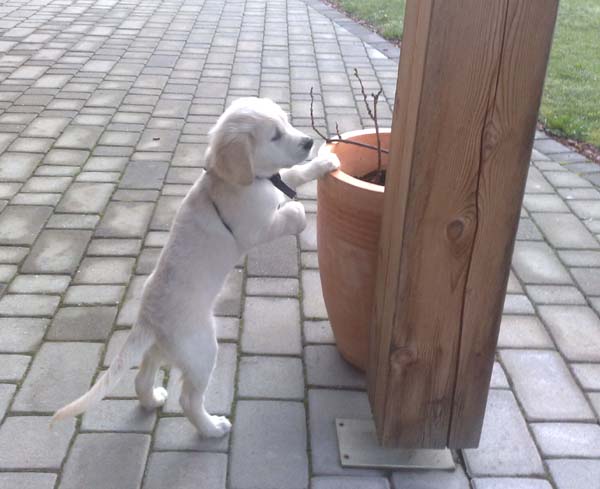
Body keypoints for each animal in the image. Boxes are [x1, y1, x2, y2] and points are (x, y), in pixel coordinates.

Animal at [52, 97, 339, 437]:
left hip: (163, 348)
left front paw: (325, 163)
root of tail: (148, 319)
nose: (308, 141)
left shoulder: (273, 184)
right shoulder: (255, 230)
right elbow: (290, 212)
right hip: (202, 349)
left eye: (287, 122)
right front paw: (298, 211)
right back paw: (213, 427)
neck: (227, 179)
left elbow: (292, 174)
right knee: (189, 399)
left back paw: (152, 399)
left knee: (143, 375)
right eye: (274, 136)